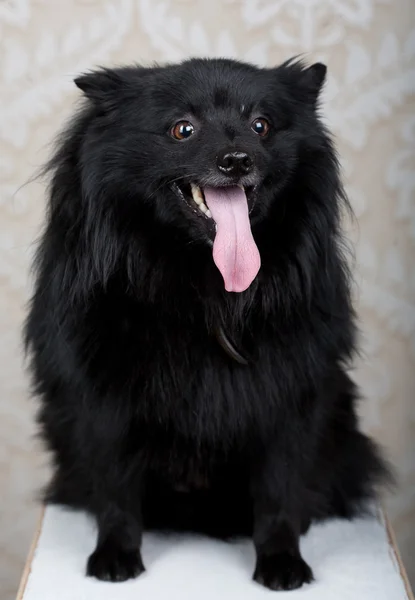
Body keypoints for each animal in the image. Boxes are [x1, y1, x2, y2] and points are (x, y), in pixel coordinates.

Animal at [26, 58, 390, 592]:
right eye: (183, 129)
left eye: (261, 125)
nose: (237, 160)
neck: (204, 286)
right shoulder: (100, 402)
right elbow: (114, 488)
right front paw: (116, 554)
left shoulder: (290, 399)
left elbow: (280, 489)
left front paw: (281, 558)